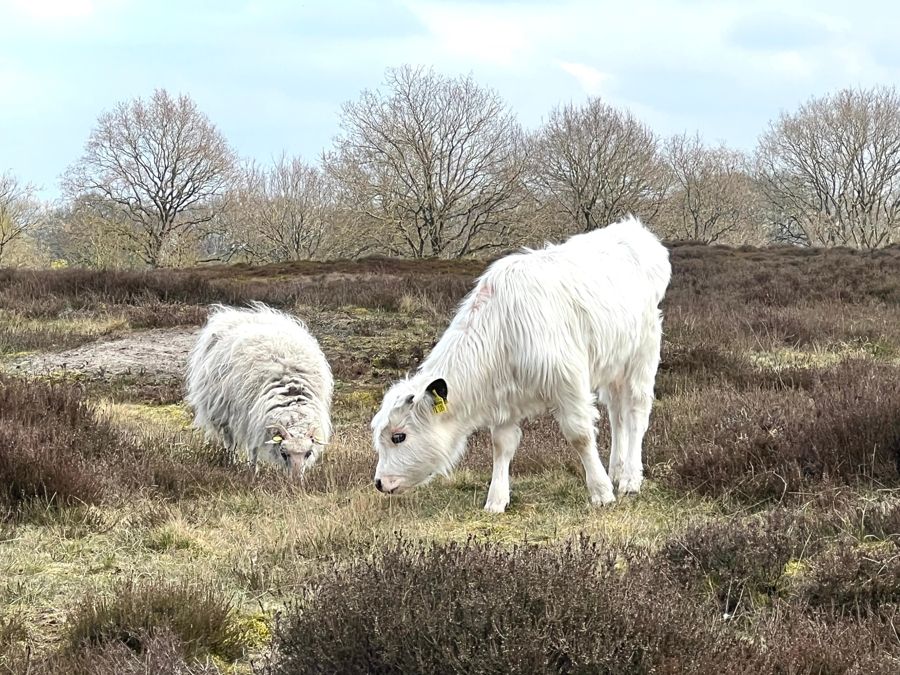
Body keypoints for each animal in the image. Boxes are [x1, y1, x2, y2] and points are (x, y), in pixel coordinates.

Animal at [185, 302, 333, 477]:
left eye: (308, 453)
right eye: (284, 454)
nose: (296, 480)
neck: (290, 389)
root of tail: (237, 314)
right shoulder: (251, 420)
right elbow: (253, 449)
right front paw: (252, 471)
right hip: (223, 410)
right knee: (229, 440)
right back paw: (230, 460)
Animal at [371, 216, 671, 512]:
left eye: (398, 436)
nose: (379, 483)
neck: (502, 327)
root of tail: (634, 230)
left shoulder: (569, 384)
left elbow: (581, 436)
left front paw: (600, 491)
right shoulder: (505, 399)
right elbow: (501, 446)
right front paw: (496, 499)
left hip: (643, 354)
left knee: (636, 413)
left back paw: (630, 478)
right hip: (614, 364)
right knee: (617, 414)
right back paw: (617, 471)